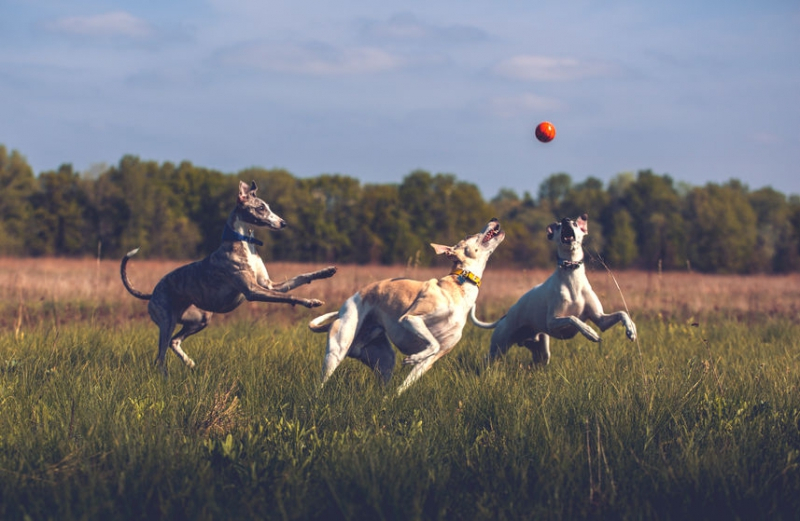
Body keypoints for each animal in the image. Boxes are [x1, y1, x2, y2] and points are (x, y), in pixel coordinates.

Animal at [308, 219, 504, 394]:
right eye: (469, 235)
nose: (494, 219)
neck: (459, 284)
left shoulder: (432, 359)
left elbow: (408, 381)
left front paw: (405, 378)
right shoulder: (410, 319)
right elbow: (432, 343)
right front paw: (413, 357)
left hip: (384, 359)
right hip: (337, 349)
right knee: (321, 382)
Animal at [472, 213, 636, 364]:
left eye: (575, 223)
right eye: (558, 226)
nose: (566, 220)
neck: (572, 276)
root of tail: (505, 316)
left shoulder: (601, 319)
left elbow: (622, 313)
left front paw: (631, 329)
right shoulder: (552, 322)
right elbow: (573, 318)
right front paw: (589, 332)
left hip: (541, 352)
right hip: (498, 347)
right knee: (487, 359)